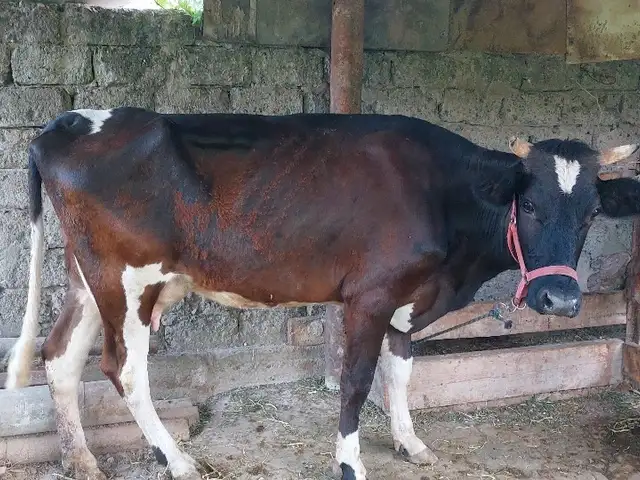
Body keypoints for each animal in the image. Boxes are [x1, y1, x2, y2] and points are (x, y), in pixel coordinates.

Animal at [4, 106, 640, 480]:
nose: (560, 301)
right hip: (128, 279)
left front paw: (410, 443)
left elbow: (402, 372)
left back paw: (81, 459)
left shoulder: (408, 299)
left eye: (591, 213)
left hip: (89, 277)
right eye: (527, 204)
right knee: (123, 368)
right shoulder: (370, 295)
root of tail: (67, 121)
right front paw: (350, 462)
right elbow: (357, 382)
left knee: (60, 355)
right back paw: (178, 459)